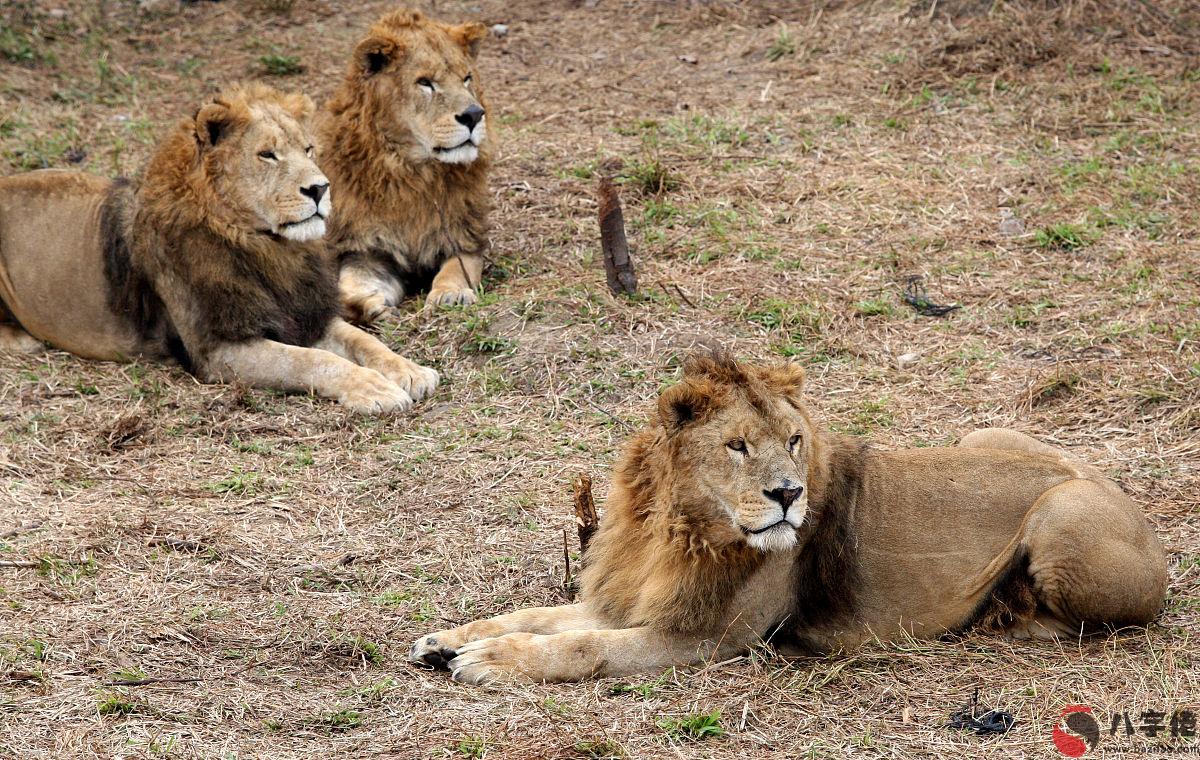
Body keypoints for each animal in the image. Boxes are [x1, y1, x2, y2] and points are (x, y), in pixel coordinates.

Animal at [0, 82, 439, 413]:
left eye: (308, 149)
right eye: (267, 154)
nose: (320, 188)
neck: (267, 248)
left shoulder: (301, 313)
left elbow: (363, 340)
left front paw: (409, 371)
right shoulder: (218, 348)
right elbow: (312, 360)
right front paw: (374, 389)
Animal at [316, 8, 494, 324]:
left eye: (467, 78)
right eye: (425, 82)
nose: (474, 114)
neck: (411, 172)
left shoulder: (465, 238)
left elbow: (455, 270)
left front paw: (450, 295)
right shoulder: (368, 251)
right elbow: (349, 287)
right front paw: (368, 305)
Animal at [408, 355, 1166, 681]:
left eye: (795, 440)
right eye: (738, 445)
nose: (787, 495)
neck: (677, 528)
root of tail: (1131, 502)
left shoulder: (706, 637)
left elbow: (579, 646)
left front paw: (490, 662)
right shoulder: (633, 596)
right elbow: (535, 617)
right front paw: (448, 640)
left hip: (1063, 509)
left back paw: (1006, 612)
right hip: (983, 435)